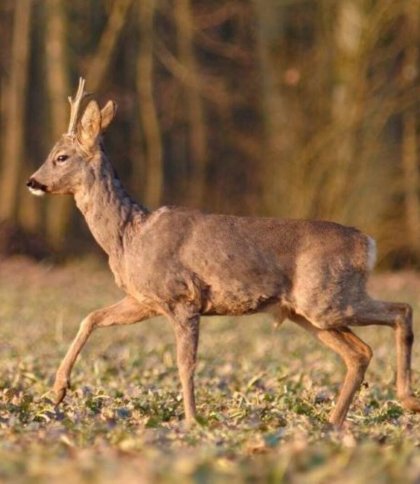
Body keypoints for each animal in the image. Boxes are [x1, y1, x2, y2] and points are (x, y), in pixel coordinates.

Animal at [26, 76, 416, 428]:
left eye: (61, 157)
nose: (32, 182)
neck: (128, 236)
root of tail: (368, 243)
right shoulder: (145, 300)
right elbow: (90, 317)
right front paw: (57, 391)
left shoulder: (182, 296)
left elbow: (186, 363)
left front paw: (191, 421)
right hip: (307, 312)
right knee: (360, 352)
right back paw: (332, 423)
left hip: (326, 299)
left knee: (401, 310)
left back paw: (407, 400)